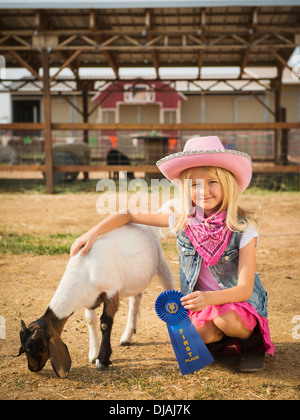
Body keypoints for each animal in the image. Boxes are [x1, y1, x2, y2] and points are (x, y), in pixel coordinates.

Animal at [17, 225, 173, 378]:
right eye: (24, 349)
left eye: (36, 347)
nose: (32, 368)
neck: (86, 268)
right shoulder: (90, 299)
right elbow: (90, 321)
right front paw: (93, 354)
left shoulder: (111, 291)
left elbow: (105, 323)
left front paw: (102, 360)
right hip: (135, 278)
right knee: (136, 298)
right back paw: (128, 335)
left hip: (159, 261)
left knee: (167, 283)